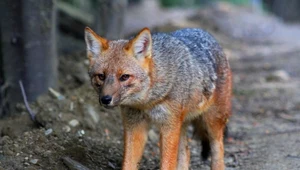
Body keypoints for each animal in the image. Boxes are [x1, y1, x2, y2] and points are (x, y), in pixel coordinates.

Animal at [84, 26, 232, 170]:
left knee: (219, 152)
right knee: (187, 152)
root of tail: (205, 33)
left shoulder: (168, 126)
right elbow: (128, 164)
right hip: (181, 125)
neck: (146, 102)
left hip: (212, 123)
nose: (105, 99)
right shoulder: (134, 126)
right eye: (101, 76)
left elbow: (167, 164)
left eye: (124, 77)